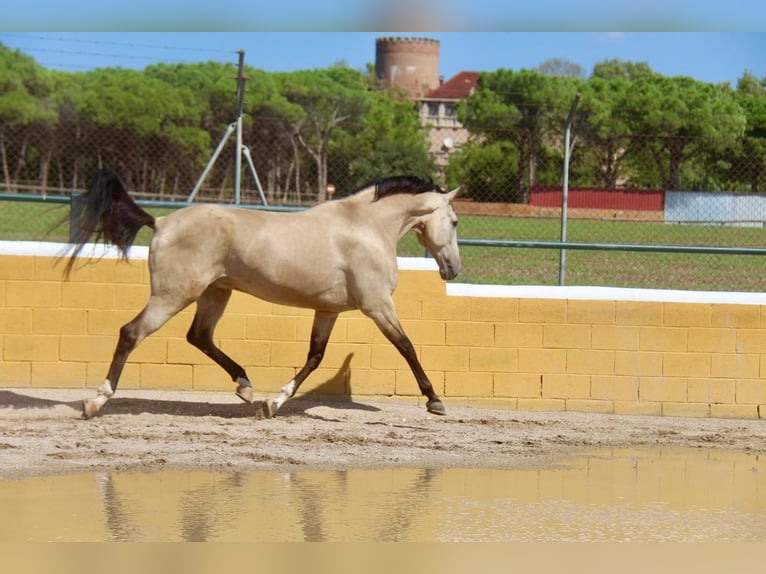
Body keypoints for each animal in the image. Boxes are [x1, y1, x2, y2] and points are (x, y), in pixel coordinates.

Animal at [66, 169, 462, 420]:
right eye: (456, 222)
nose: (453, 269)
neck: (364, 227)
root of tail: (161, 222)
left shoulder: (329, 310)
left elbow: (315, 356)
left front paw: (273, 404)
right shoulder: (377, 305)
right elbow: (407, 347)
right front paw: (435, 401)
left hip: (215, 293)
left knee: (199, 336)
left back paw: (245, 387)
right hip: (173, 295)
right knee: (131, 333)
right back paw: (96, 402)